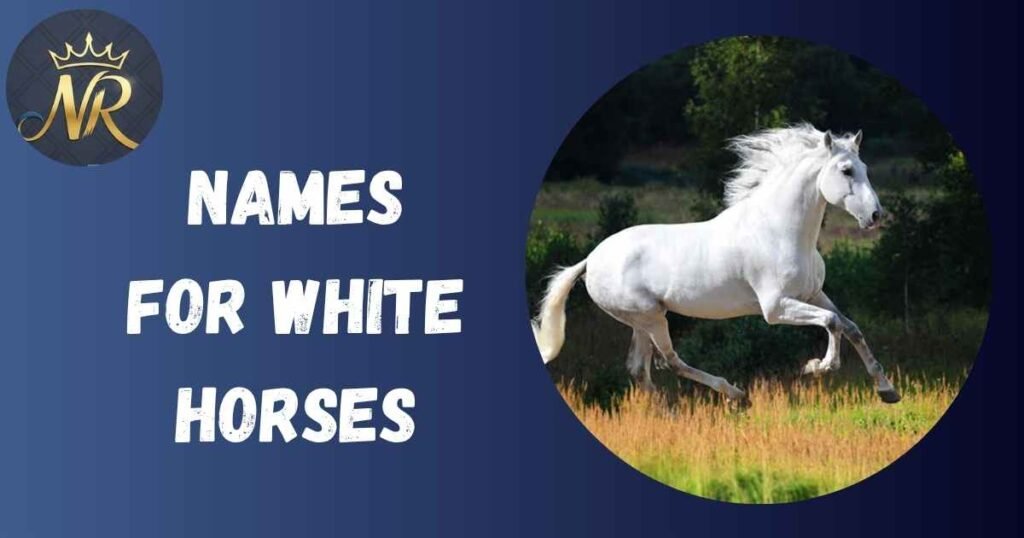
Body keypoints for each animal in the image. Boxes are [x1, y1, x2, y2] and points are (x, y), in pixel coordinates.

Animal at [532, 124, 900, 407]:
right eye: (846, 171)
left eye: (866, 169)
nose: (876, 216)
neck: (779, 230)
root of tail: (591, 260)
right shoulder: (775, 308)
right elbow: (832, 323)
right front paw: (816, 367)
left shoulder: (812, 295)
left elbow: (850, 326)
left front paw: (887, 391)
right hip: (650, 317)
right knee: (670, 362)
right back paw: (736, 395)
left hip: (641, 321)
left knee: (640, 369)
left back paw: (670, 415)